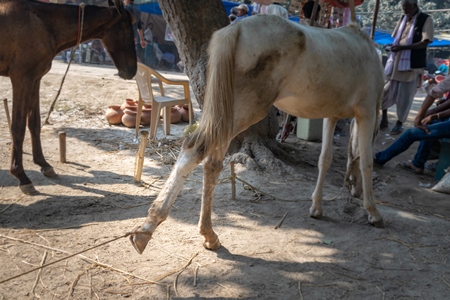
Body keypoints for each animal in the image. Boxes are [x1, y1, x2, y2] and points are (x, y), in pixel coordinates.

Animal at [0, 0, 137, 195]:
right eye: (129, 32)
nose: (132, 71)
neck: (41, 23)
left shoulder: (35, 79)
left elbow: (34, 123)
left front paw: (43, 164)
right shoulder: (21, 78)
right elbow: (17, 127)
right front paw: (21, 175)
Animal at [128, 14, 384, 253]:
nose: (355, 191)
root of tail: (236, 28)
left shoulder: (331, 116)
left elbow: (325, 159)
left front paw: (317, 207)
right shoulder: (367, 112)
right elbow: (366, 161)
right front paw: (373, 212)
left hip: (226, 114)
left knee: (212, 164)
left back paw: (209, 235)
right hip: (243, 112)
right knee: (195, 150)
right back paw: (147, 229)